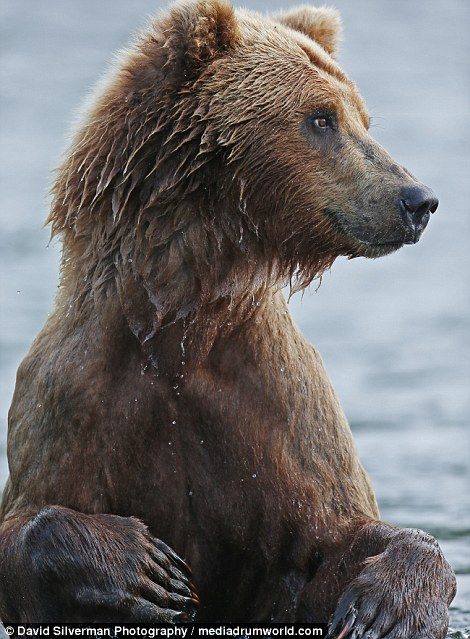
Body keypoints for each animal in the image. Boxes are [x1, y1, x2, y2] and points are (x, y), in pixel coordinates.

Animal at [0, 1, 458, 636]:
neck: (183, 322)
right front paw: (144, 568)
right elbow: (31, 519)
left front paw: (383, 607)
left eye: (363, 118)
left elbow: (337, 536)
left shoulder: (273, 406)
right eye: (321, 119)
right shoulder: (78, 399)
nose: (418, 199)